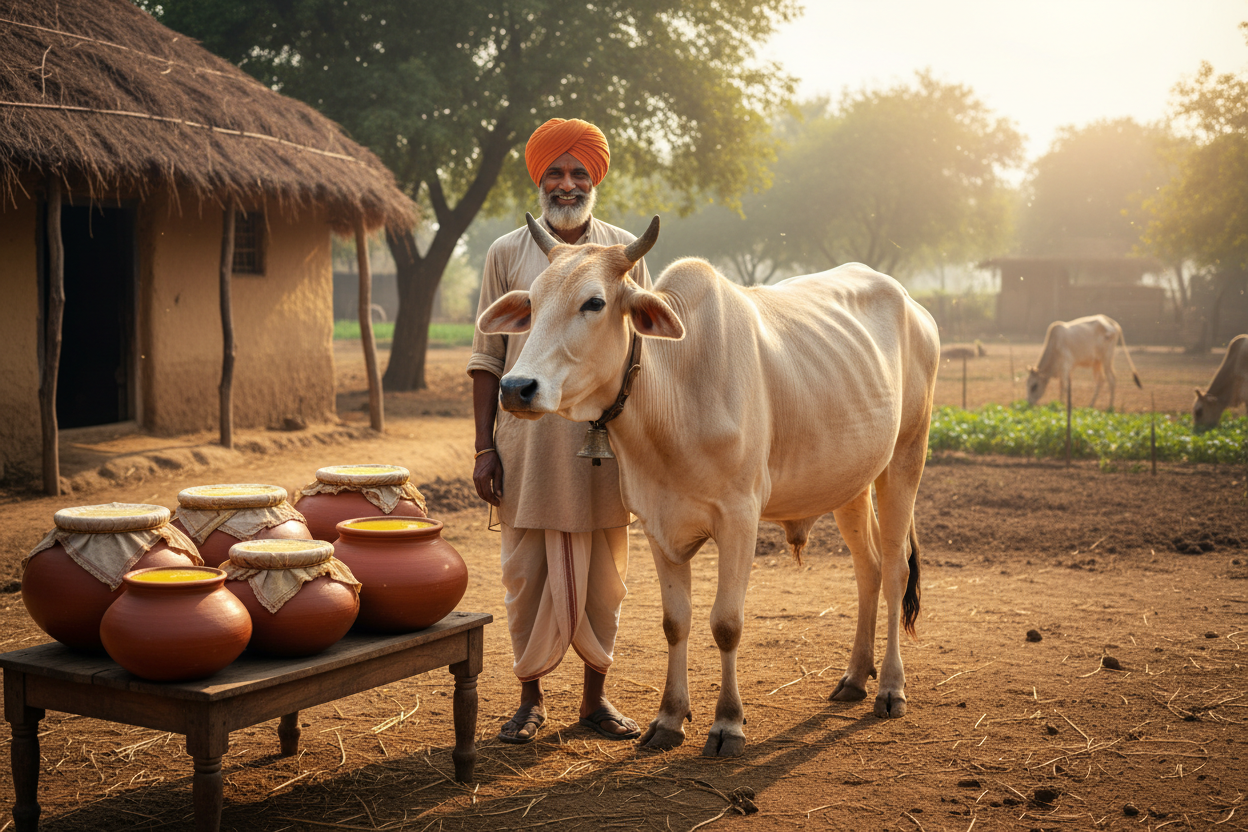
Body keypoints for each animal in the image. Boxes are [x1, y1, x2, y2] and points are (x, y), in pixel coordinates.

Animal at [477, 214, 940, 757]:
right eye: (532, 301)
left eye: (594, 302)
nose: (516, 388)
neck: (677, 390)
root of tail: (913, 304)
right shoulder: (657, 523)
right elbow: (675, 622)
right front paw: (669, 719)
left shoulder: (740, 519)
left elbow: (726, 623)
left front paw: (727, 723)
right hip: (850, 481)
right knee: (868, 569)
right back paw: (854, 677)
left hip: (906, 457)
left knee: (894, 570)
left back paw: (890, 687)